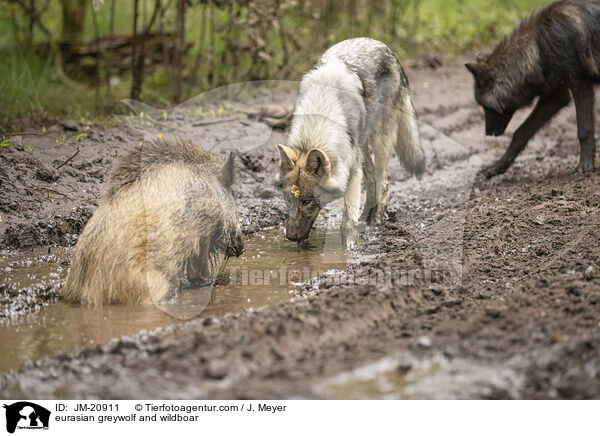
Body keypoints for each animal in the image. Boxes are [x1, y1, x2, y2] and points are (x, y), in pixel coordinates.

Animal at [62, 138, 245, 304]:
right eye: (233, 194)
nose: (242, 248)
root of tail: (88, 292)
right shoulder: (202, 229)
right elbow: (198, 264)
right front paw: (210, 281)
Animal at [278, 37, 426, 244]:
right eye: (288, 198)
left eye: (307, 201)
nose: (290, 237)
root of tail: (382, 45)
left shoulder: (353, 171)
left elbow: (347, 219)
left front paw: (349, 246)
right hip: (362, 148)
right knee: (372, 180)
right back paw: (366, 218)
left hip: (379, 142)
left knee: (383, 183)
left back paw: (377, 220)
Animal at [468, 0, 600, 178]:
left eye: (484, 107)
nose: (488, 132)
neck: (538, 45)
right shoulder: (556, 96)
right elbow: (521, 133)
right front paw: (498, 166)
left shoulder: (580, 84)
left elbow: (584, 130)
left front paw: (585, 166)